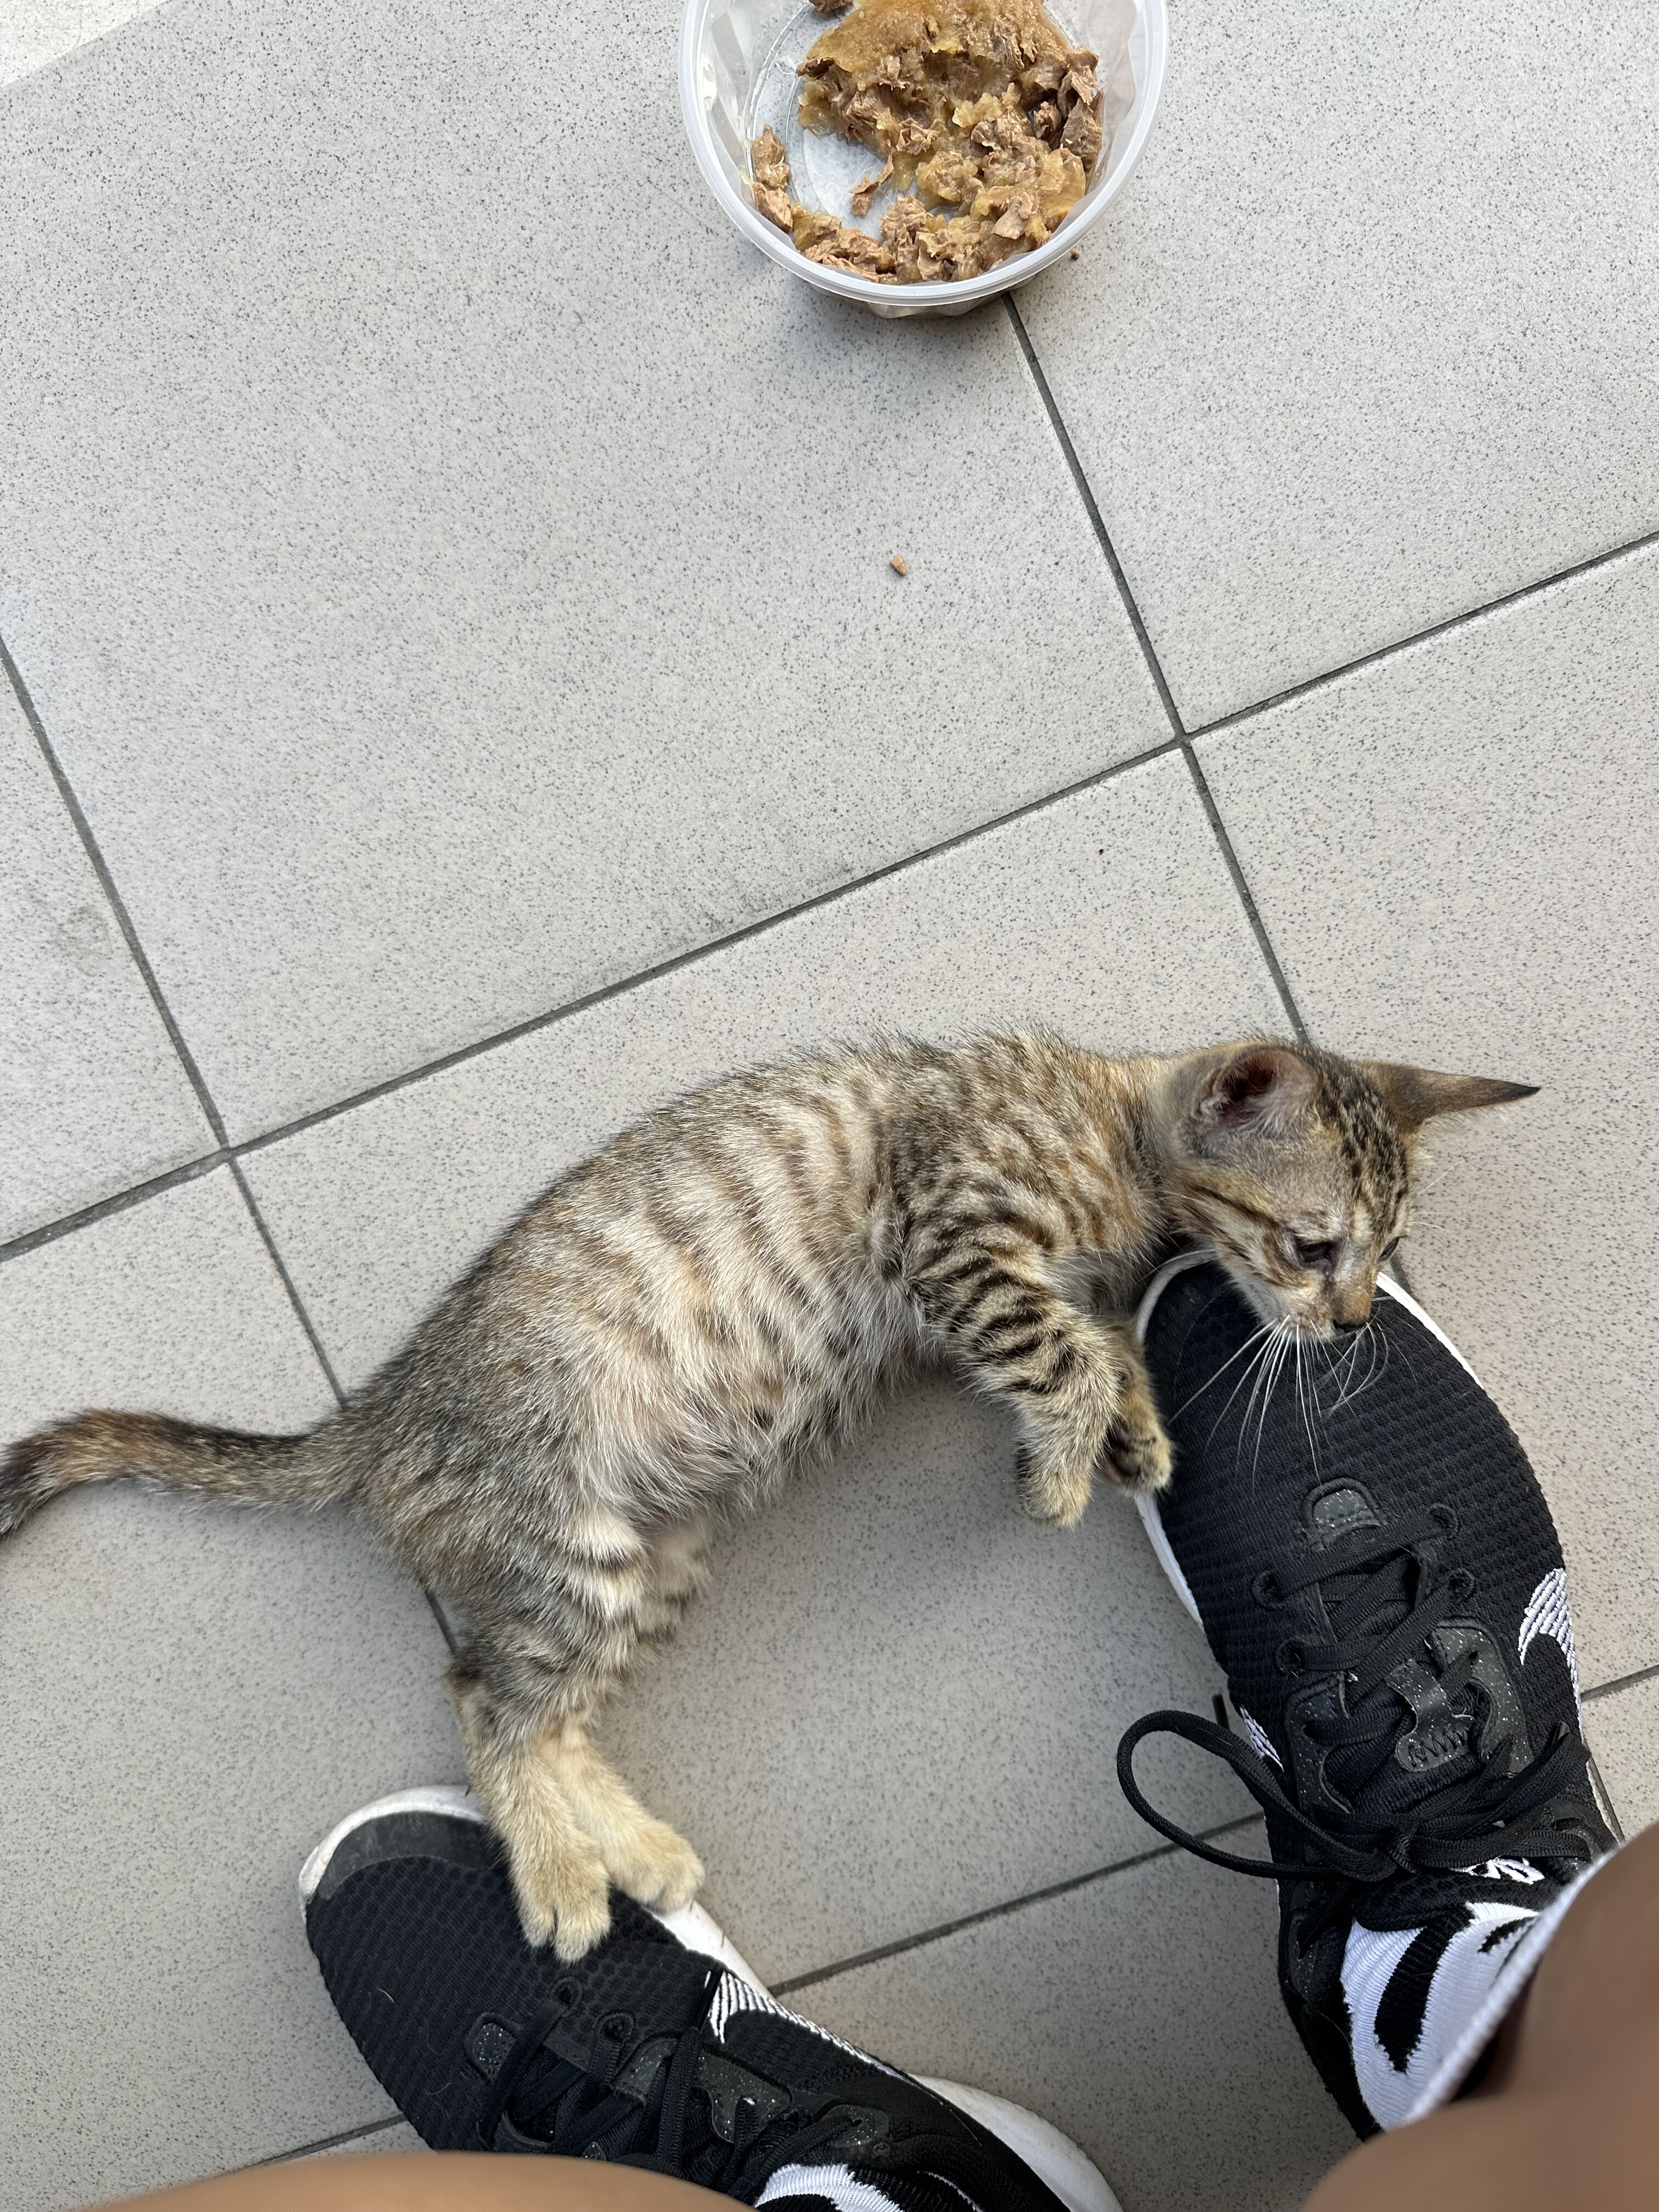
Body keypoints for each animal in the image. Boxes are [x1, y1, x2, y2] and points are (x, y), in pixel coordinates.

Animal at [1, 1035, 1533, 1957]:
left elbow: (1097, 1343)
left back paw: (631, 1852)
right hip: (570, 1544)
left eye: (1385, 1245)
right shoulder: (954, 1239)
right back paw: (560, 1879)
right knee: (482, 1697)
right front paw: (1062, 1468)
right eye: (1314, 1244)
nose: (1352, 1320)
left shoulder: (1007, 1278)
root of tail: (382, 1414)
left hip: (652, 1563)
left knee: (547, 1710)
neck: (1109, 1119)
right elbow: (1059, 1350)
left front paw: (1137, 1437)